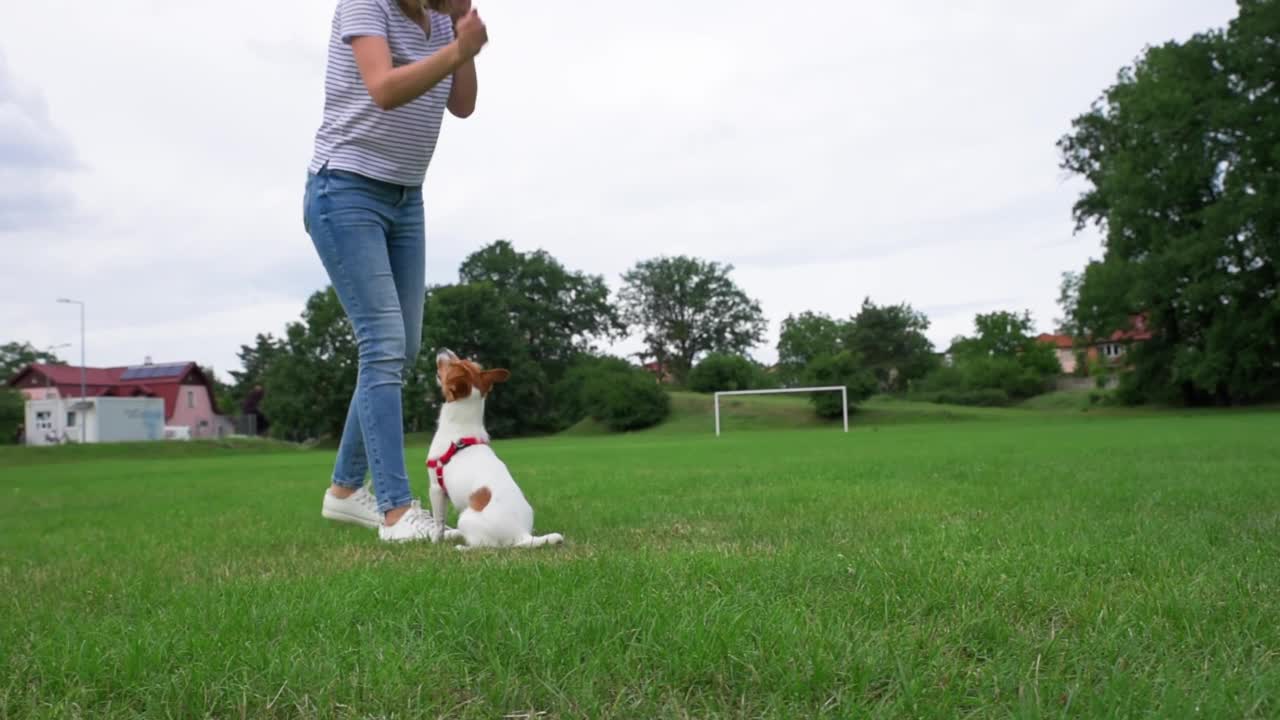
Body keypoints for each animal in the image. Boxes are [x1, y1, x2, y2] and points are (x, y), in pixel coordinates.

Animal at [427, 351, 563, 545]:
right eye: (462, 360)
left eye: (452, 365)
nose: (444, 350)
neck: (460, 428)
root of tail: (522, 534)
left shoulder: (436, 488)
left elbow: (439, 521)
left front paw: (436, 541)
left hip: (465, 518)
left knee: (485, 545)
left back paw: (462, 546)